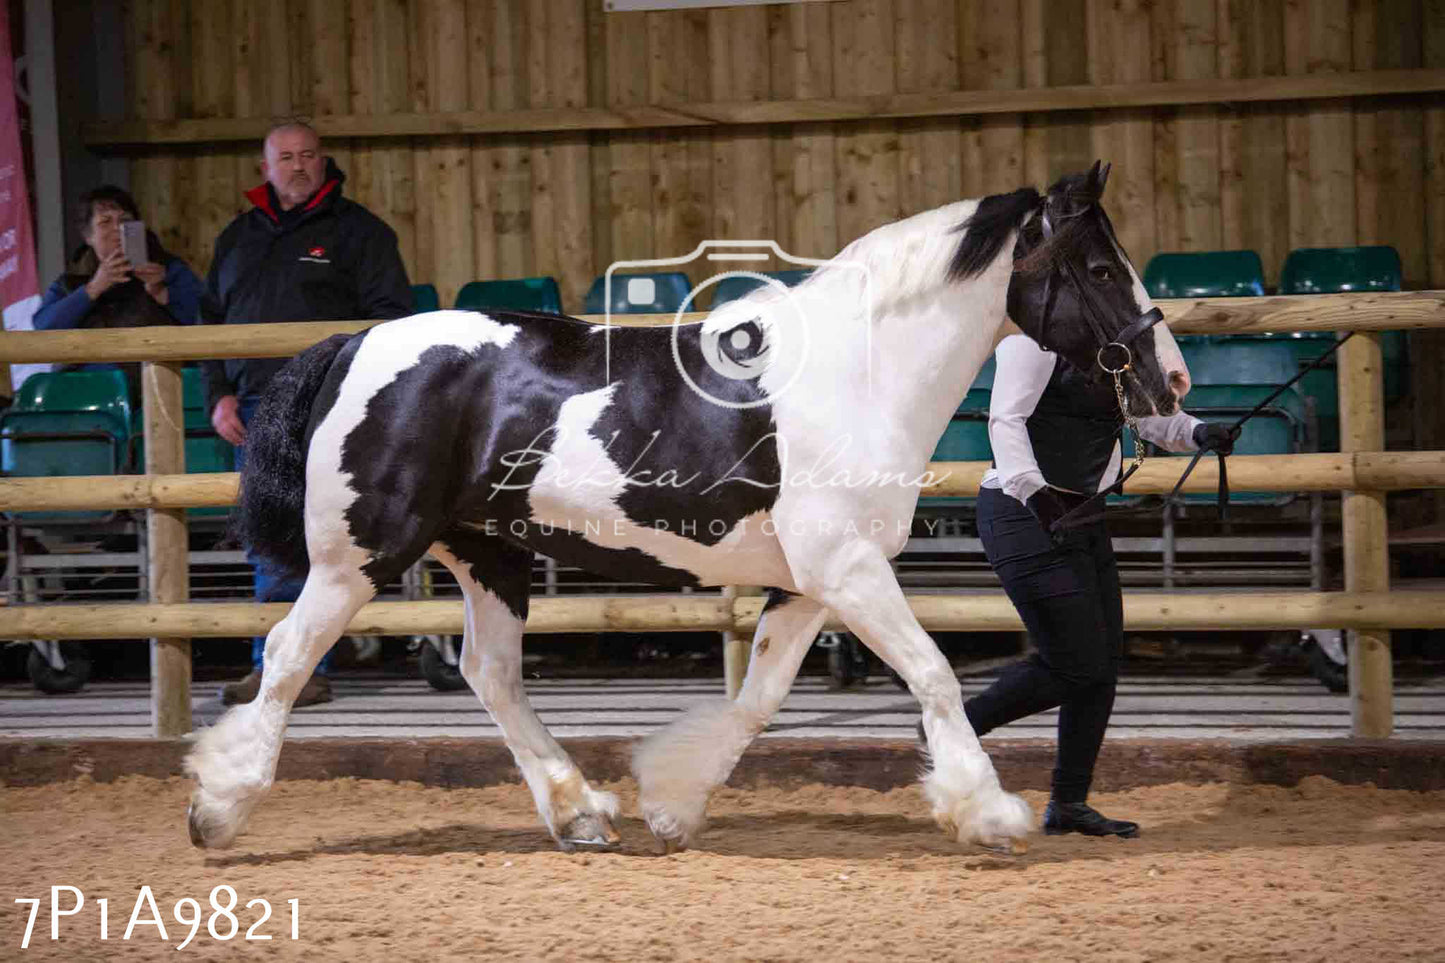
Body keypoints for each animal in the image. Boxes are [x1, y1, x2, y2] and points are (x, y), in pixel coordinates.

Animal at [186, 161, 1190, 850]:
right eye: (1100, 268)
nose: (1170, 383)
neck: (857, 375)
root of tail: (352, 345)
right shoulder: (850, 571)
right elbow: (935, 674)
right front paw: (987, 810)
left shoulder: (811, 584)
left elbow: (755, 702)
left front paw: (671, 803)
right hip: (358, 556)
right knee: (288, 653)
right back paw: (217, 807)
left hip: (487, 552)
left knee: (490, 673)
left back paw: (579, 813)